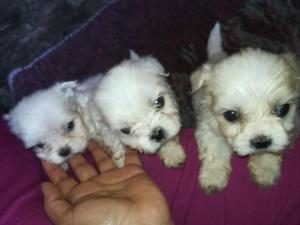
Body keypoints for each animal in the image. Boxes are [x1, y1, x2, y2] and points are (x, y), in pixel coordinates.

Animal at [191, 23, 298, 195]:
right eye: (231, 115)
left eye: (283, 109)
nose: (261, 142)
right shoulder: (208, 127)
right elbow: (214, 151)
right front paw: (213, 176)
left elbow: (270, 152)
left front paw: (265, 169)